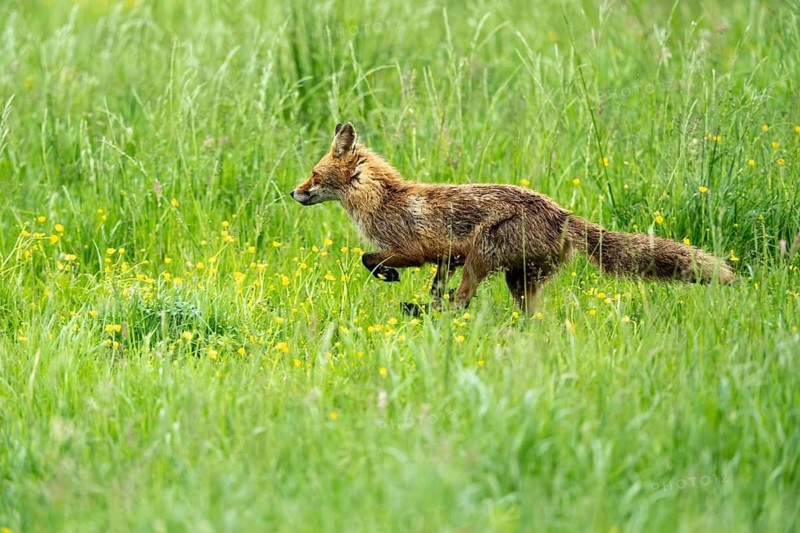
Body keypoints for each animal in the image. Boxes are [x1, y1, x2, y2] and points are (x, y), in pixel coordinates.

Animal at [290, 122, 734, 313]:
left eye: (313, 173)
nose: (293, 193)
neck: (383, 200)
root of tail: (563, 214)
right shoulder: (447, 259)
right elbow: (434, 286)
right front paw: (417, 296)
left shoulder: (417, 250)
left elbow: (369, 259)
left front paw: (390, 277)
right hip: (516, 279)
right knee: (527, 318)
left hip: (483, 258)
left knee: (463, 303)